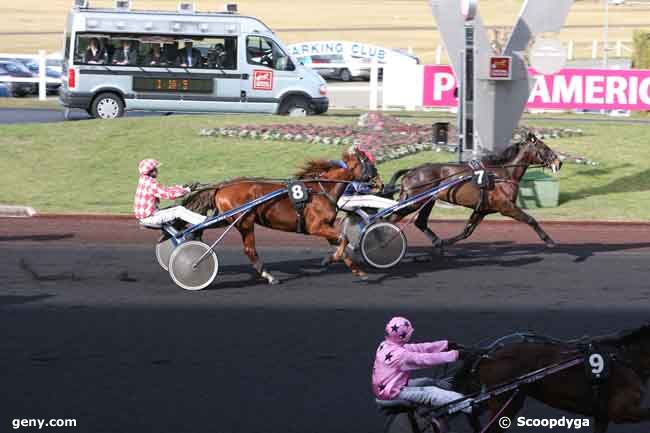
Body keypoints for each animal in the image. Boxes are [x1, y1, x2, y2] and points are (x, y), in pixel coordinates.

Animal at [181, 148, 380, 284]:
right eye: (371, 166)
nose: (380, 183)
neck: (321, 189)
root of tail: (222, 187)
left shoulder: (326, 227)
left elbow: (342, 245)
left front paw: (358, 271)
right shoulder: (316, 227)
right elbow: (344, 238)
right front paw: (328, 260)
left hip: (228, 219)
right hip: (245, 222)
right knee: (250, 250)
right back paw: (268, 276)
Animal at [382, 131, 560, 246]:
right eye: (545, 148)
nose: (559, 162)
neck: (502, 173)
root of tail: (411, 171)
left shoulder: (482, 209)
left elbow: (466, 232)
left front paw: (445, 243)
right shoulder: (506, 207)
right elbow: (531, 219)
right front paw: (549, 240)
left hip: (427, 201)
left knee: (419, 222)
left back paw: (436, 241)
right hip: (414, 202)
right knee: (391, 218)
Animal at [454, 326, 648, 430]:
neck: (624, 356)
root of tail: (487, 354)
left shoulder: (602, 415)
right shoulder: (621, 410)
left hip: (497, 397)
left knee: (471, 411)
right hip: (506, 402)